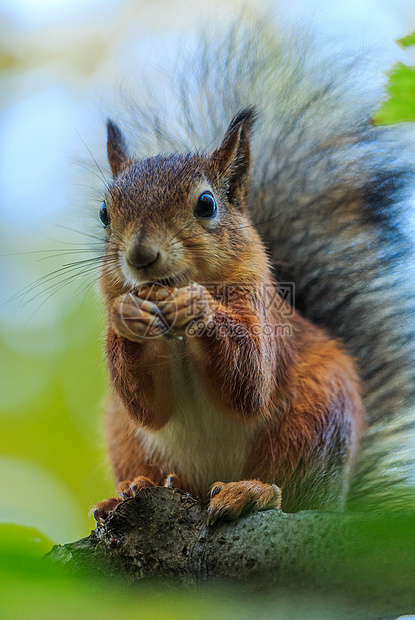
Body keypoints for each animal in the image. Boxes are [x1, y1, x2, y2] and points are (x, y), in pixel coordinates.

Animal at [93, 110, 364, 524]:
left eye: (206, 204)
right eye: (104, 213)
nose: (140, 256)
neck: (175, 334)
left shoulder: (262, 313)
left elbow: (250, 382)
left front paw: (196, 305)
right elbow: (148, 407)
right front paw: (128, 314)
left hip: (315, 422)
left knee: (294, 492)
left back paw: (253, 492)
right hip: (124, 436)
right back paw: (136, 488)